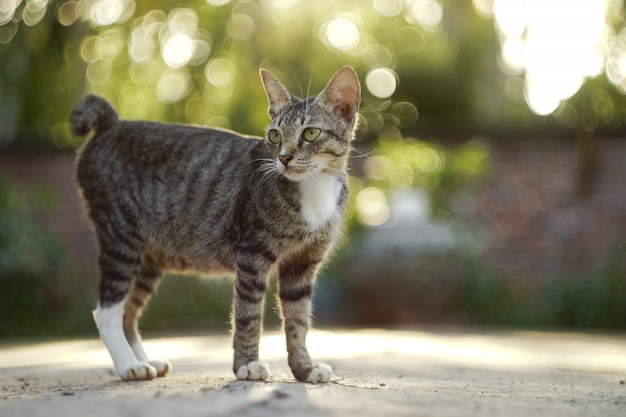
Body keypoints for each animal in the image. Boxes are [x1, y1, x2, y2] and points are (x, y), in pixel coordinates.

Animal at [70, 66, 358, 384]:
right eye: (274, 135)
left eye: (310, 133)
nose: (283, 158)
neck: (314, 188)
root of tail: (111, 124)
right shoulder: (252, 254)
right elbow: (248, 315)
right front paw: (246, 365)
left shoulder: (303, 264)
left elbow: (298, 321)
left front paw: (304, 369)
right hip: (120, 236)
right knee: (107, 311)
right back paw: (128, 366)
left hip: (147, 259)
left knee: (127, 312)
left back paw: (144, 361)